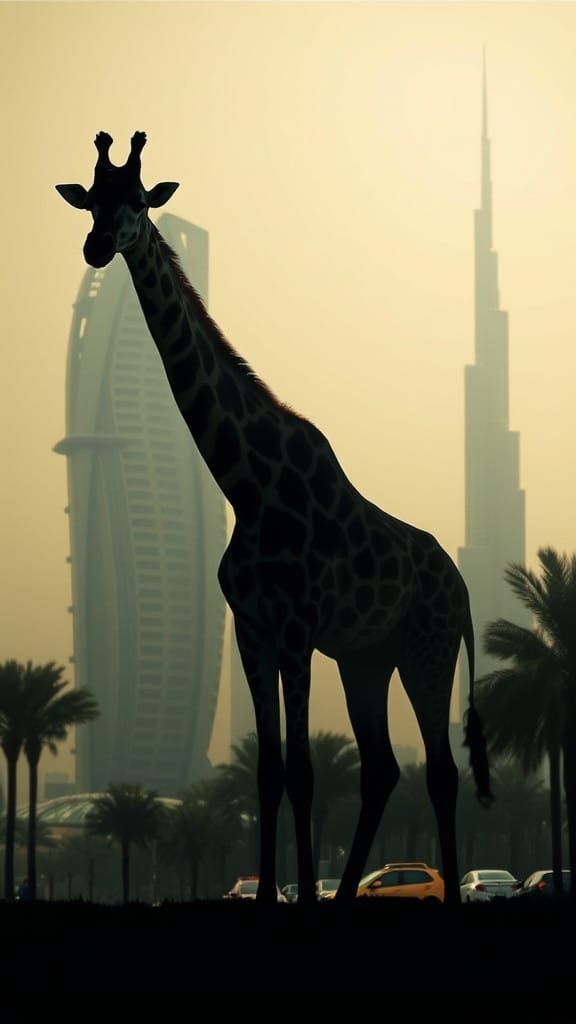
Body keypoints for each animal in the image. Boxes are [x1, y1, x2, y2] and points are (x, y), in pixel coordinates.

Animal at [56, 132, 492, 906]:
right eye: (91, 200)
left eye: (136, 200)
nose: (98, 246)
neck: (246, 484)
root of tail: (463, 586)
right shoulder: (253, 630)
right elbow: (267, 773)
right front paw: (270, 898)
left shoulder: (295, 630)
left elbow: (302, 771)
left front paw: (297, 896)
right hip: (367, 658)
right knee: (383, 767)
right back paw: (349, 895)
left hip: (428, 647)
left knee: (440, 771)